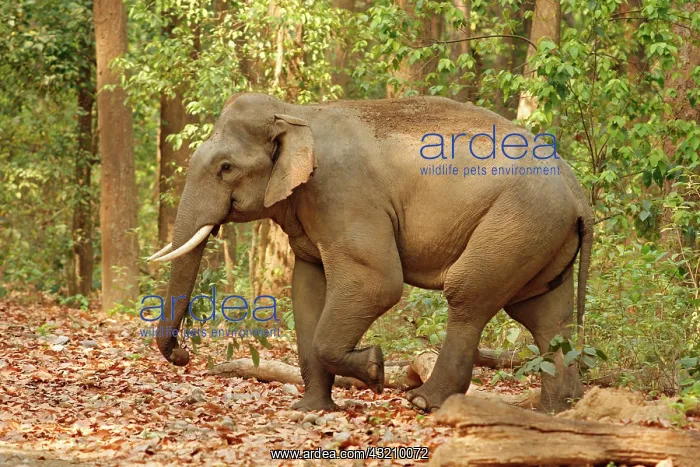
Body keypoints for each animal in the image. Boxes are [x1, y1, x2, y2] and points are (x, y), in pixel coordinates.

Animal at [149, 92, 593, 413]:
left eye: (225, 168)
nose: (183, 354)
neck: (295, 113)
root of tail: (578, 193)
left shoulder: (343, 194)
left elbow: (377, 283)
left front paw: (376, 368)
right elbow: (306, 290)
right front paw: (311, 409)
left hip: (518, 222)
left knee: (468, 293)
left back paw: (423, 402)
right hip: (542, 236)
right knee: (546, 316)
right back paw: (556, 411)